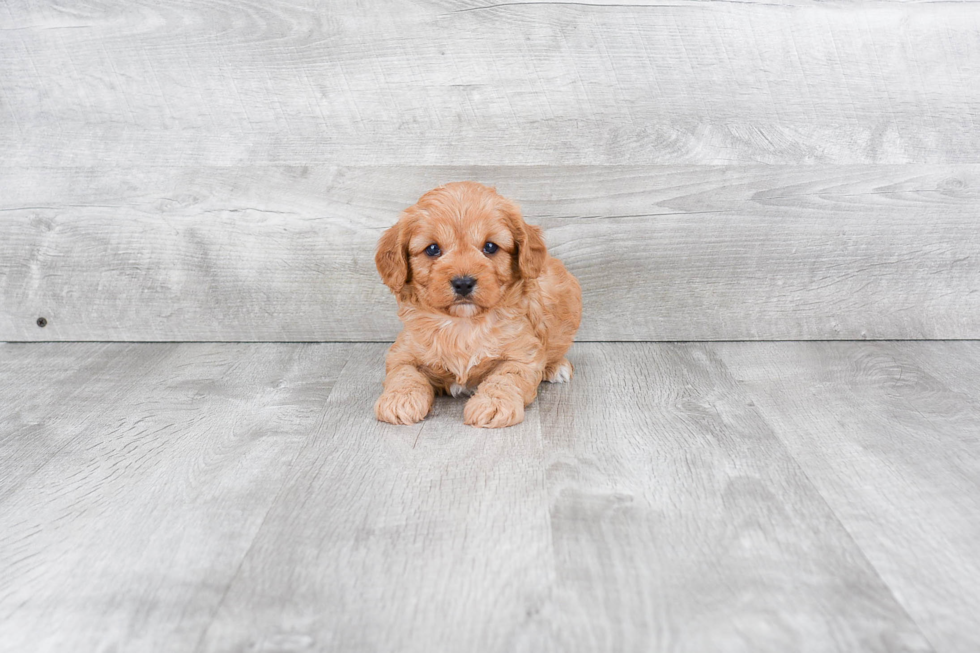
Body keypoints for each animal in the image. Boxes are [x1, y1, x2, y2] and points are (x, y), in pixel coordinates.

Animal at [372, 182, 580, 428]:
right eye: (432, 249)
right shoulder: (402, 352)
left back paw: (557, 367)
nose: (463, 283)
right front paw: (399, 400)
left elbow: (506, 377)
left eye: (490, 247)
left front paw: (493, 404)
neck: (463, 324)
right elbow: (404, 374)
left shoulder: (524, 353)